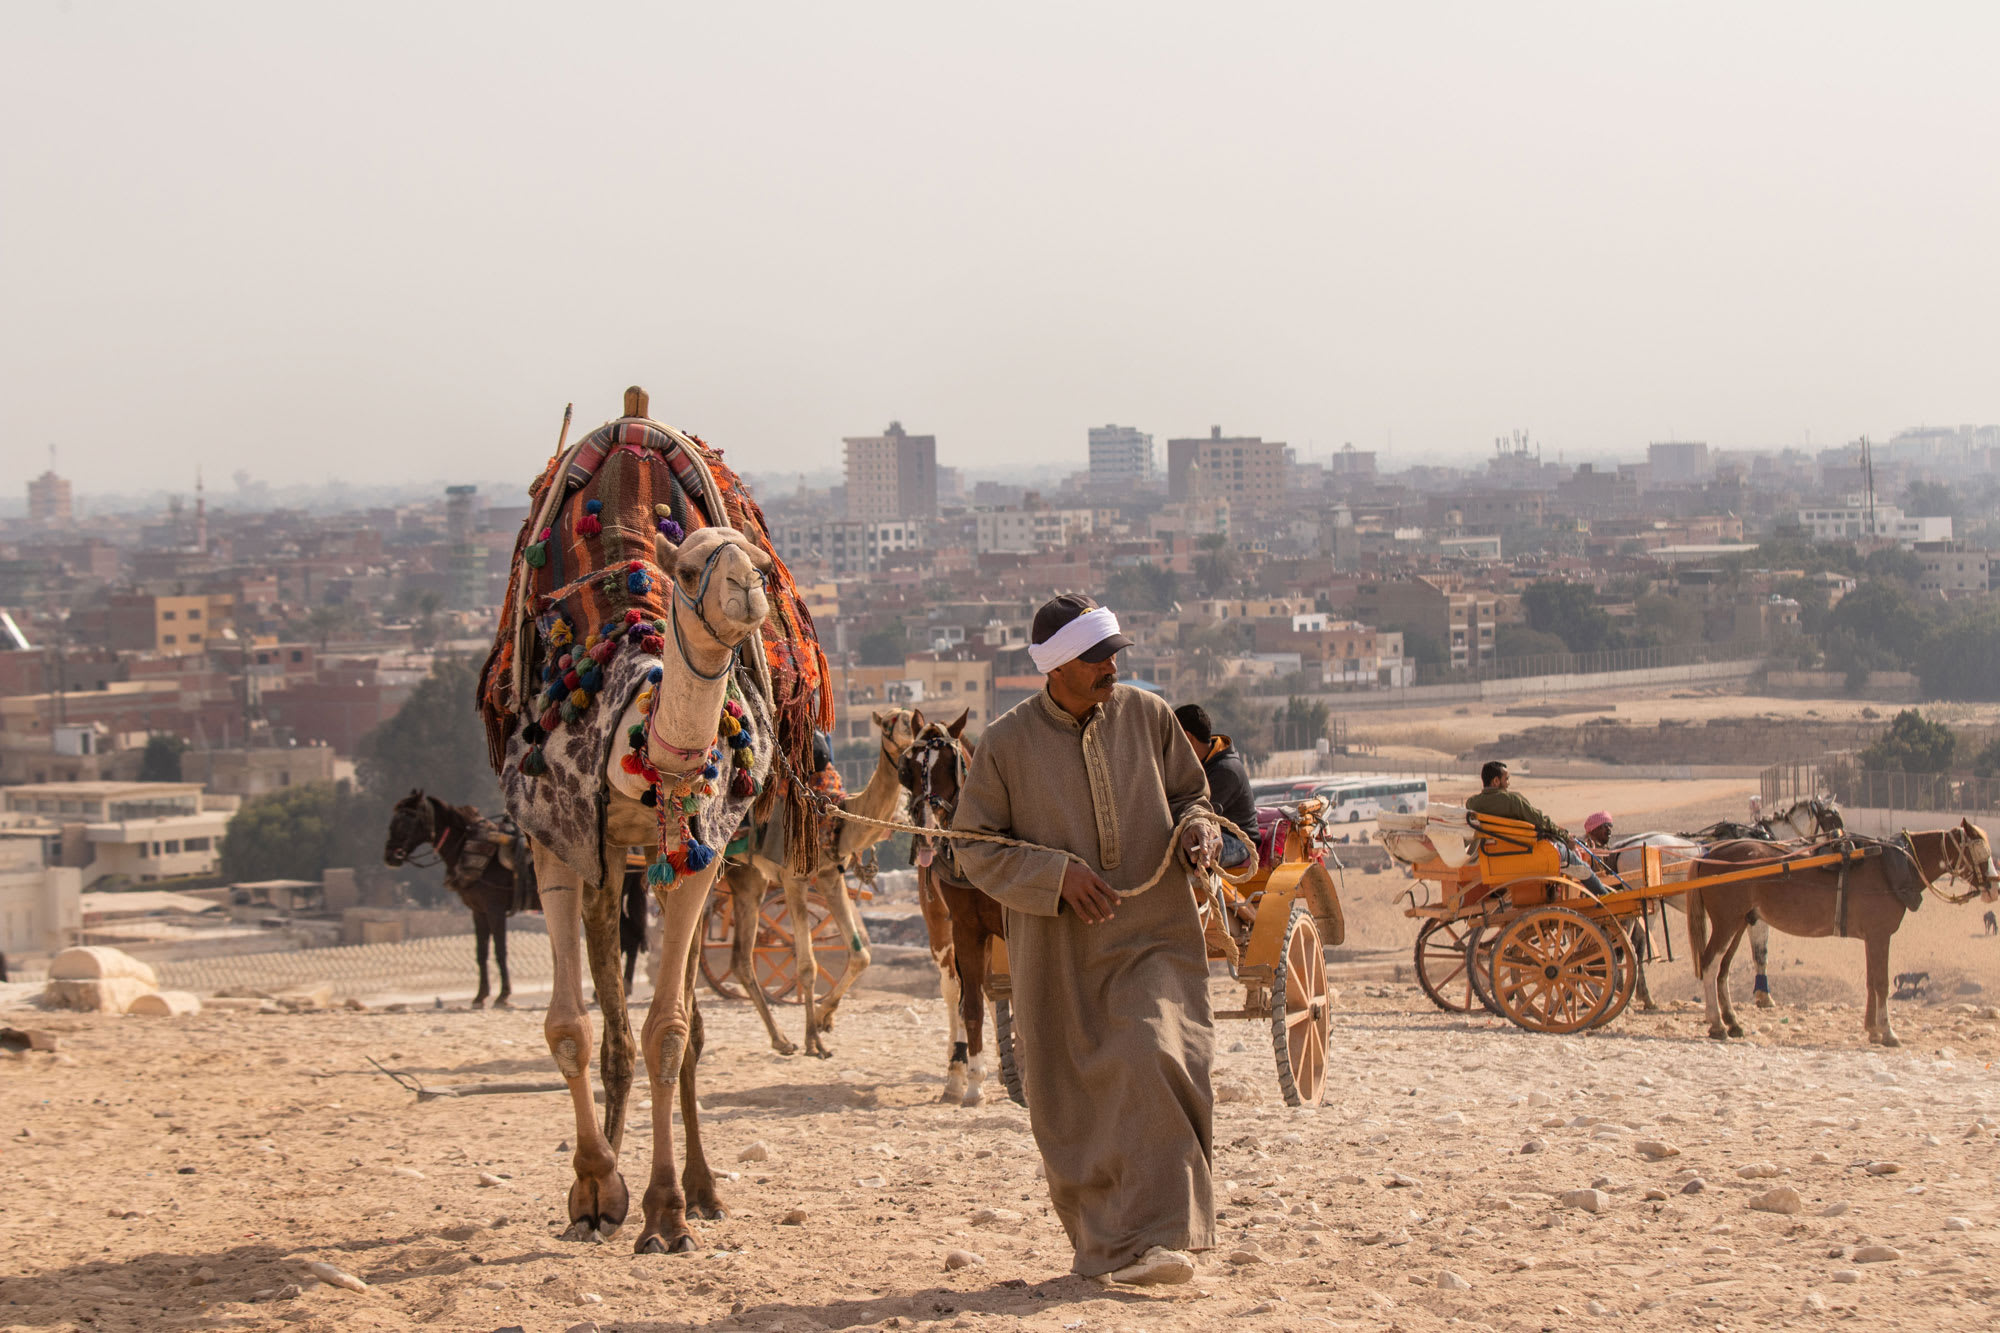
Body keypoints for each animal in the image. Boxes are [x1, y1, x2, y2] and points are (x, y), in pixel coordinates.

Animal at [380, 792, 540, 1000]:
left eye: (408, 820)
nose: (390, 856)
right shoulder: (478, 911)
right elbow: (481, 952)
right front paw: (481, 995)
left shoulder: (495, 909)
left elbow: (500, 950)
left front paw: (503, 994)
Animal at [720, 700, 920, 1056]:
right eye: (887, 725)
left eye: (914, 718)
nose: (910, 736)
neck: (835, 817)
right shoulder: (793, 878)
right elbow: (807, 965)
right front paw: (814, 1040)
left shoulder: (829, 875)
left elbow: (861, 955)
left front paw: (826, 1018)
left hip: (746, 876)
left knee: (738, 958)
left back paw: (780, 1040)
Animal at [904, 712, 1016, 1104]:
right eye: (907, 767)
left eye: (951, 765)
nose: (926, 831)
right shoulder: (967, 928)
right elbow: (972, 1006)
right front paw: (973, 1081)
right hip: (939, 926)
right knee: (957, 989)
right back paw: (957, 1072)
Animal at [1688, 816, 2000, 1040]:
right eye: (1980, 852)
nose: (1994, 888)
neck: (1894, 866)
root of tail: (1711, 853)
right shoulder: (1879, 934)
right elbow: (1881, 983)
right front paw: (1887, 1032)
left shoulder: (1873, 936)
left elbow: (1871, 981)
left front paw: (1872, 1029)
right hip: (1727, 921)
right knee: (1710, 963)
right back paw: (1717, 1025)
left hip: (1741, 920)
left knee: (1722, 968)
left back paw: (1731, 1022)